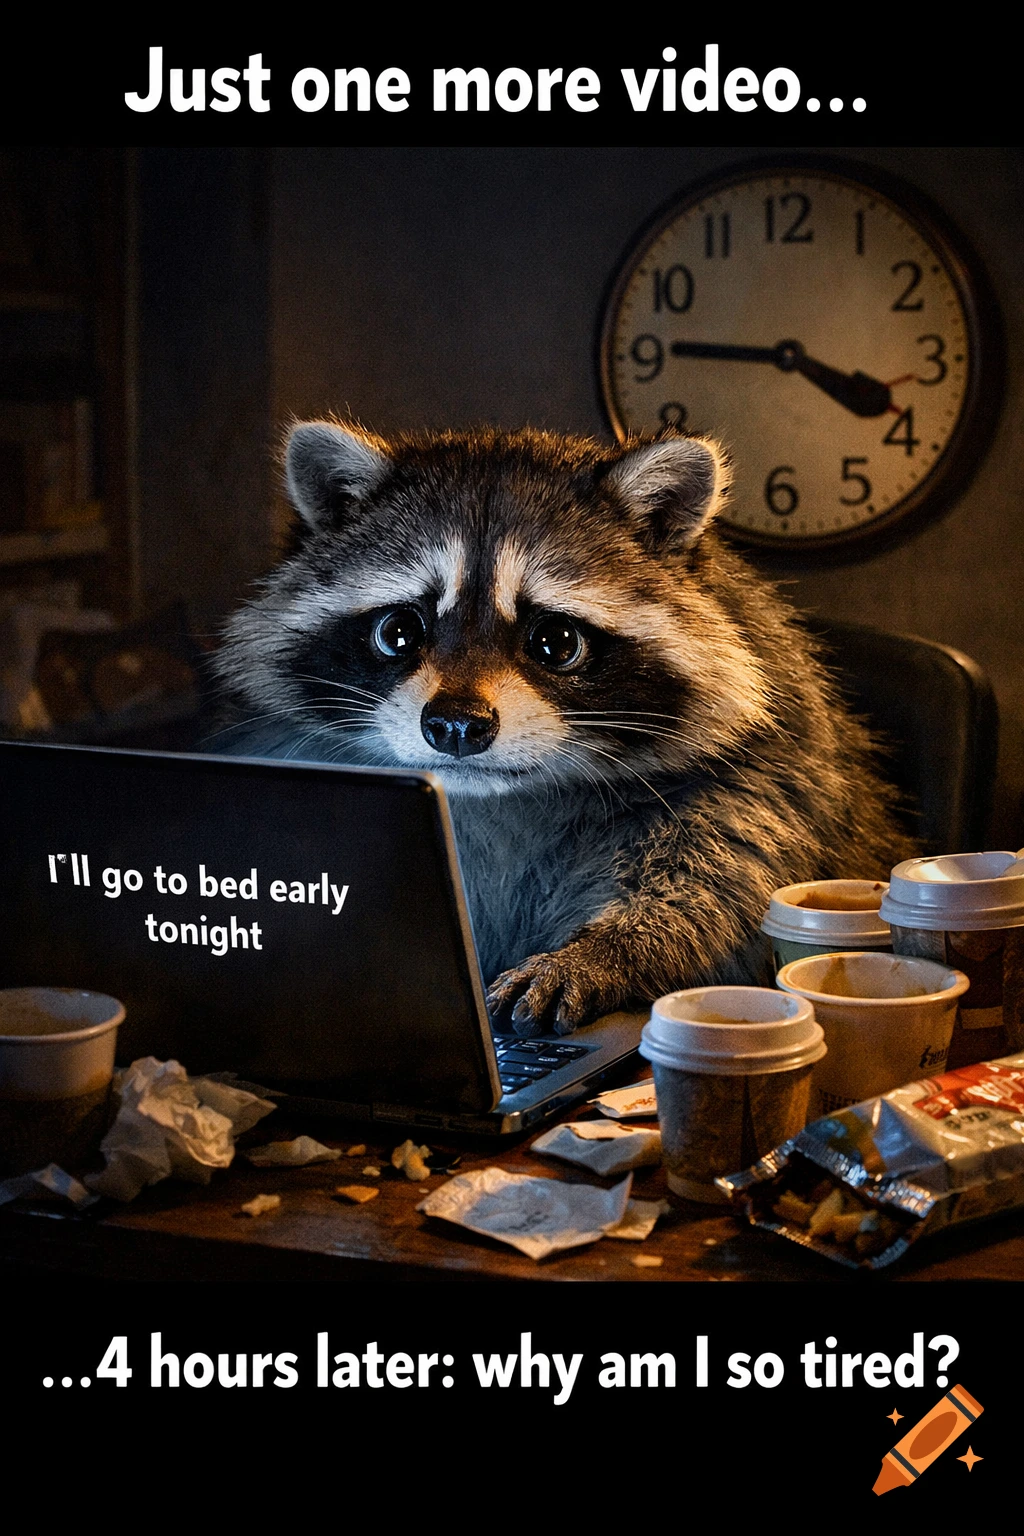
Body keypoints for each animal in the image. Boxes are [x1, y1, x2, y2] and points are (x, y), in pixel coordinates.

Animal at [212, 420, 914, 1035]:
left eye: (555, 641)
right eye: (399, 631)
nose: (456, 726)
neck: (503, 797)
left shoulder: (771, 770)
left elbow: (721, 877)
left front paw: (606, 951)